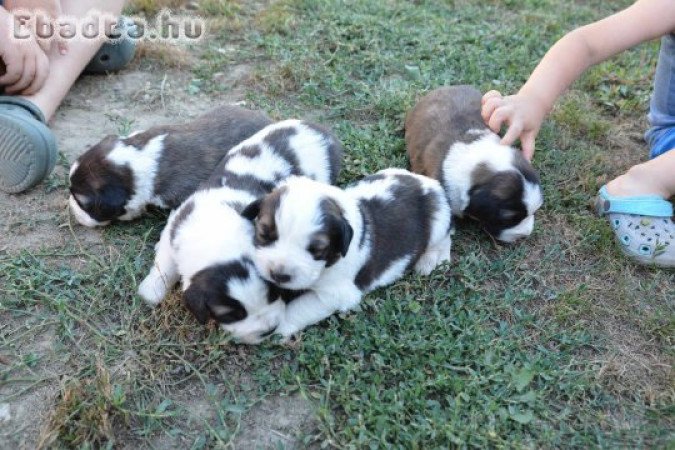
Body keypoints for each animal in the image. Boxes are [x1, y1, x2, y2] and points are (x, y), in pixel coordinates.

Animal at [136, 119, 344, 342]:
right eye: (232, 315)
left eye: (274, 293)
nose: (268, 330)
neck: (215, 235)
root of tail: (318, 129)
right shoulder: (177, 226)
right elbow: (165, 263)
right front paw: (151, 290)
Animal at [238, 170, 454, 342]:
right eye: (264, 233)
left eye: (316, 249)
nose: (278, 275)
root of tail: (430, 184)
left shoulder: (336, 295)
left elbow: (299, 308)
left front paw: (277, 329)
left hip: (439, 222)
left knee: (447, 237)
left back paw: (431, 260)